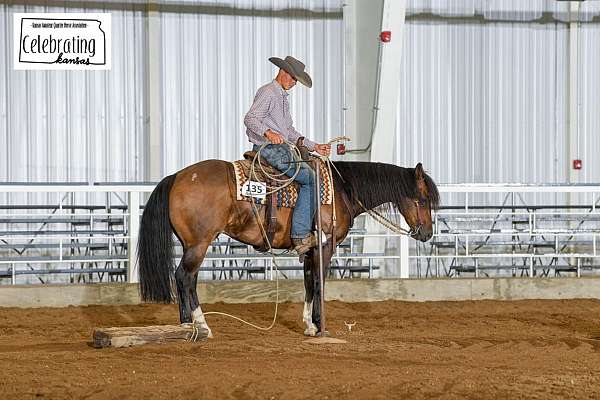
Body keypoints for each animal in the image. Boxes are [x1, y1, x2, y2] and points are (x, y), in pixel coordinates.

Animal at [137, 156, 440, 338]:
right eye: (423, 200)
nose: (426, 233)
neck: (342, 190)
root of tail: (178, 176)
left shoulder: (309, 250)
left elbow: (308, 283)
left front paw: (308, 324)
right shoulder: (325, 247)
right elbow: (318, 283)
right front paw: (320, 327)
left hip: (191, 244)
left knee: (184, 278)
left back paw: (186, 326)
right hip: (199, 244)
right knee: (185, 277)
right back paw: (200, 325)